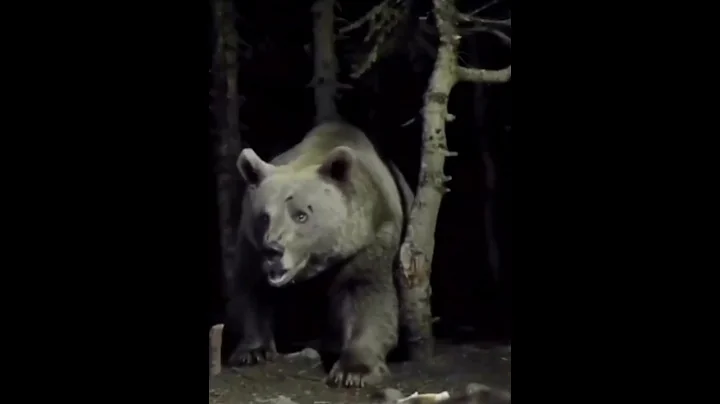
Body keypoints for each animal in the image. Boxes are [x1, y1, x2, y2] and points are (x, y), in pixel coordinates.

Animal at [225, 121, 413, 388]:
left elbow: (367, 296)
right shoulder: (251, 244)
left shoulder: (371, 239)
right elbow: (251, 290)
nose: (273, 250)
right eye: (264, 216)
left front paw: (354, 371)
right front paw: (252, 351)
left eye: (301, 215)